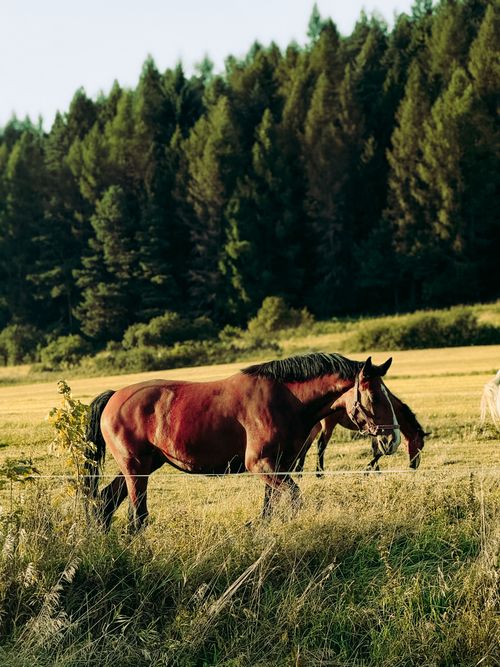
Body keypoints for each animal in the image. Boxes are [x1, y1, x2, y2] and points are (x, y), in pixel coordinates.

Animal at [83, 353, 401, 531]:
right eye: (374, 396)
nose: (392, 438)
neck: (285, 400)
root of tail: (114, 397)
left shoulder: (279, 466)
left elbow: (269, 507)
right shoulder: (261, 465)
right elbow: (294, 499)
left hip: (141, 468)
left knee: (105, 504)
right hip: (136, 471)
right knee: (137, 517)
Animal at [295, 388, 427, 475]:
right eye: (418, 446)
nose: (414, 465)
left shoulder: (376, 433)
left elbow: (375, 449)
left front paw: (376, 471)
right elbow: (379, 452)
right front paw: (368, 470)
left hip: (315, 425)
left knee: (306, 444)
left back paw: (298, 470)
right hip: (328, 424)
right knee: (321, 444)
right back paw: (319, 473)